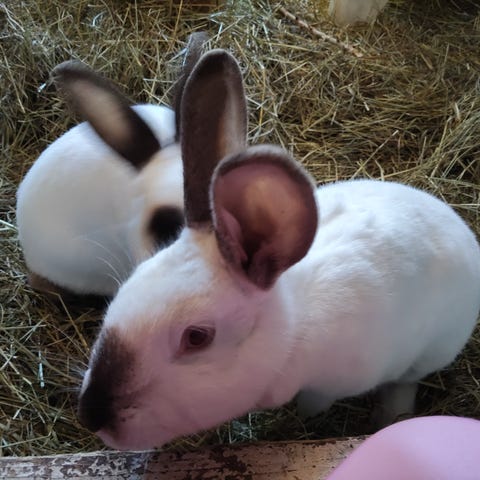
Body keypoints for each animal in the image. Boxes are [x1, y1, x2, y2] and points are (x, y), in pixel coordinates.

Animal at [76, 48, 480, 450]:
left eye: (196, 338)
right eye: (126, 287)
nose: (90, 415)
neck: (290, 335)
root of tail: (461, 229)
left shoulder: (330, 384)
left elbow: (315, 403)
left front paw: (306, 417)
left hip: (435, 347)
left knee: (407, 379)